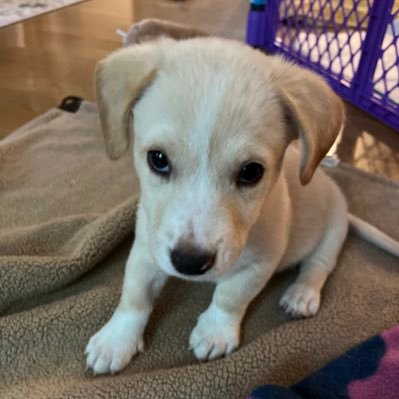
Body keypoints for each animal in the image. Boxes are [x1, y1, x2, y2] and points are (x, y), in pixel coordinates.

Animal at [85, 23, 399, 376]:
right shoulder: (146, 249)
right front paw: (117, 339)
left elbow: (230, 297)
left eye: (251, 172)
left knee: (317, 267)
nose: (189, 263)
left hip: (332, 235)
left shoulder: (259, 264)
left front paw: (215, 332)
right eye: (158, 159)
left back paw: (301, 294)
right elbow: (134, 296)